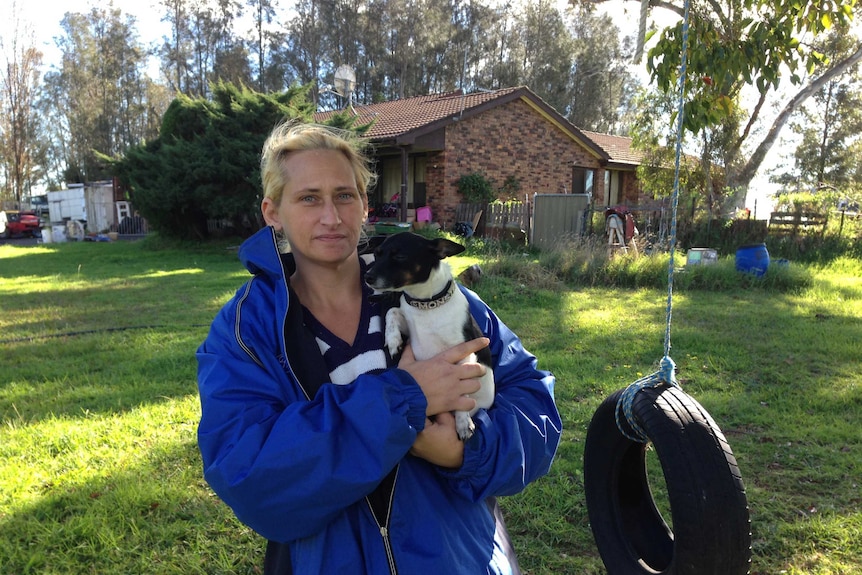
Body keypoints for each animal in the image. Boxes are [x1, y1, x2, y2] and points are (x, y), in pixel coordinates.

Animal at [364, 232, 496, 438]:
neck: (427, 305)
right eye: (377, 255)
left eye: (400, 256)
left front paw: (463, 422)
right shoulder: (408, 324)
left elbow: (462, 394)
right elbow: (392, 312)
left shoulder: (465, 356)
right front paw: (393, 341)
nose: (367, 276)